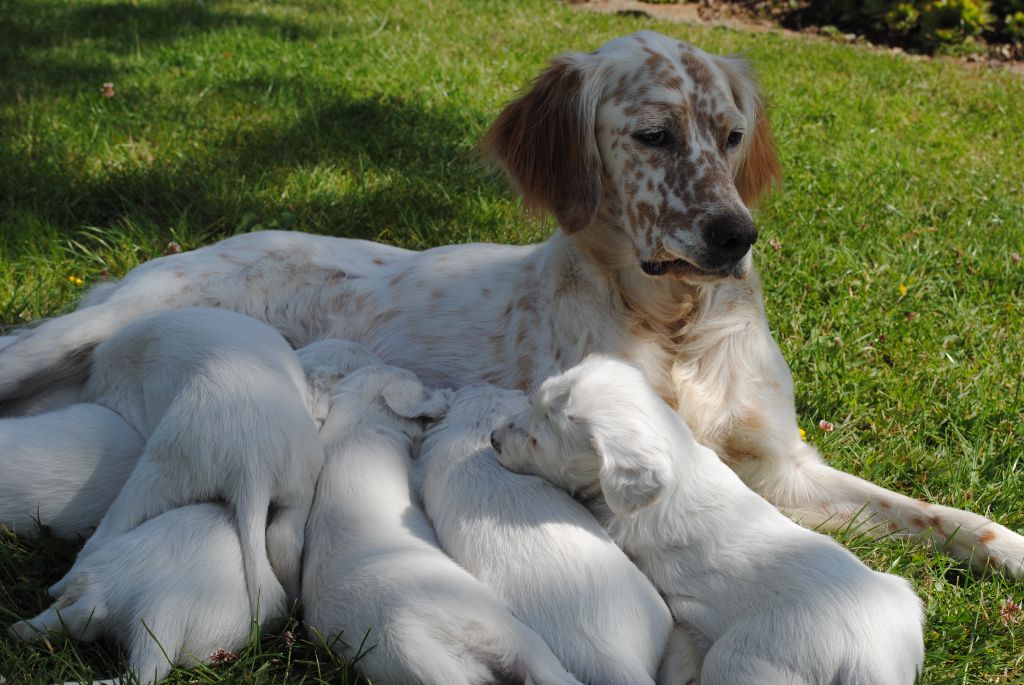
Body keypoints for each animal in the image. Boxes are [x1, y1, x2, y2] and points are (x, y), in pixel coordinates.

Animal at [0, 30, 1019, 573]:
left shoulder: (782, 470)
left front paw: (1005, 547)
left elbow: (935, 513)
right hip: (73, 335)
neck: (674, 329)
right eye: (653, 135)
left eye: (732, 137)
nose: (736, 237)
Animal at [495, 358, 929, 683]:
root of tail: (867, 658)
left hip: (742, 658)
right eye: (530, 404)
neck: (678, 460)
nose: (495, 439)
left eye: (536, 441)